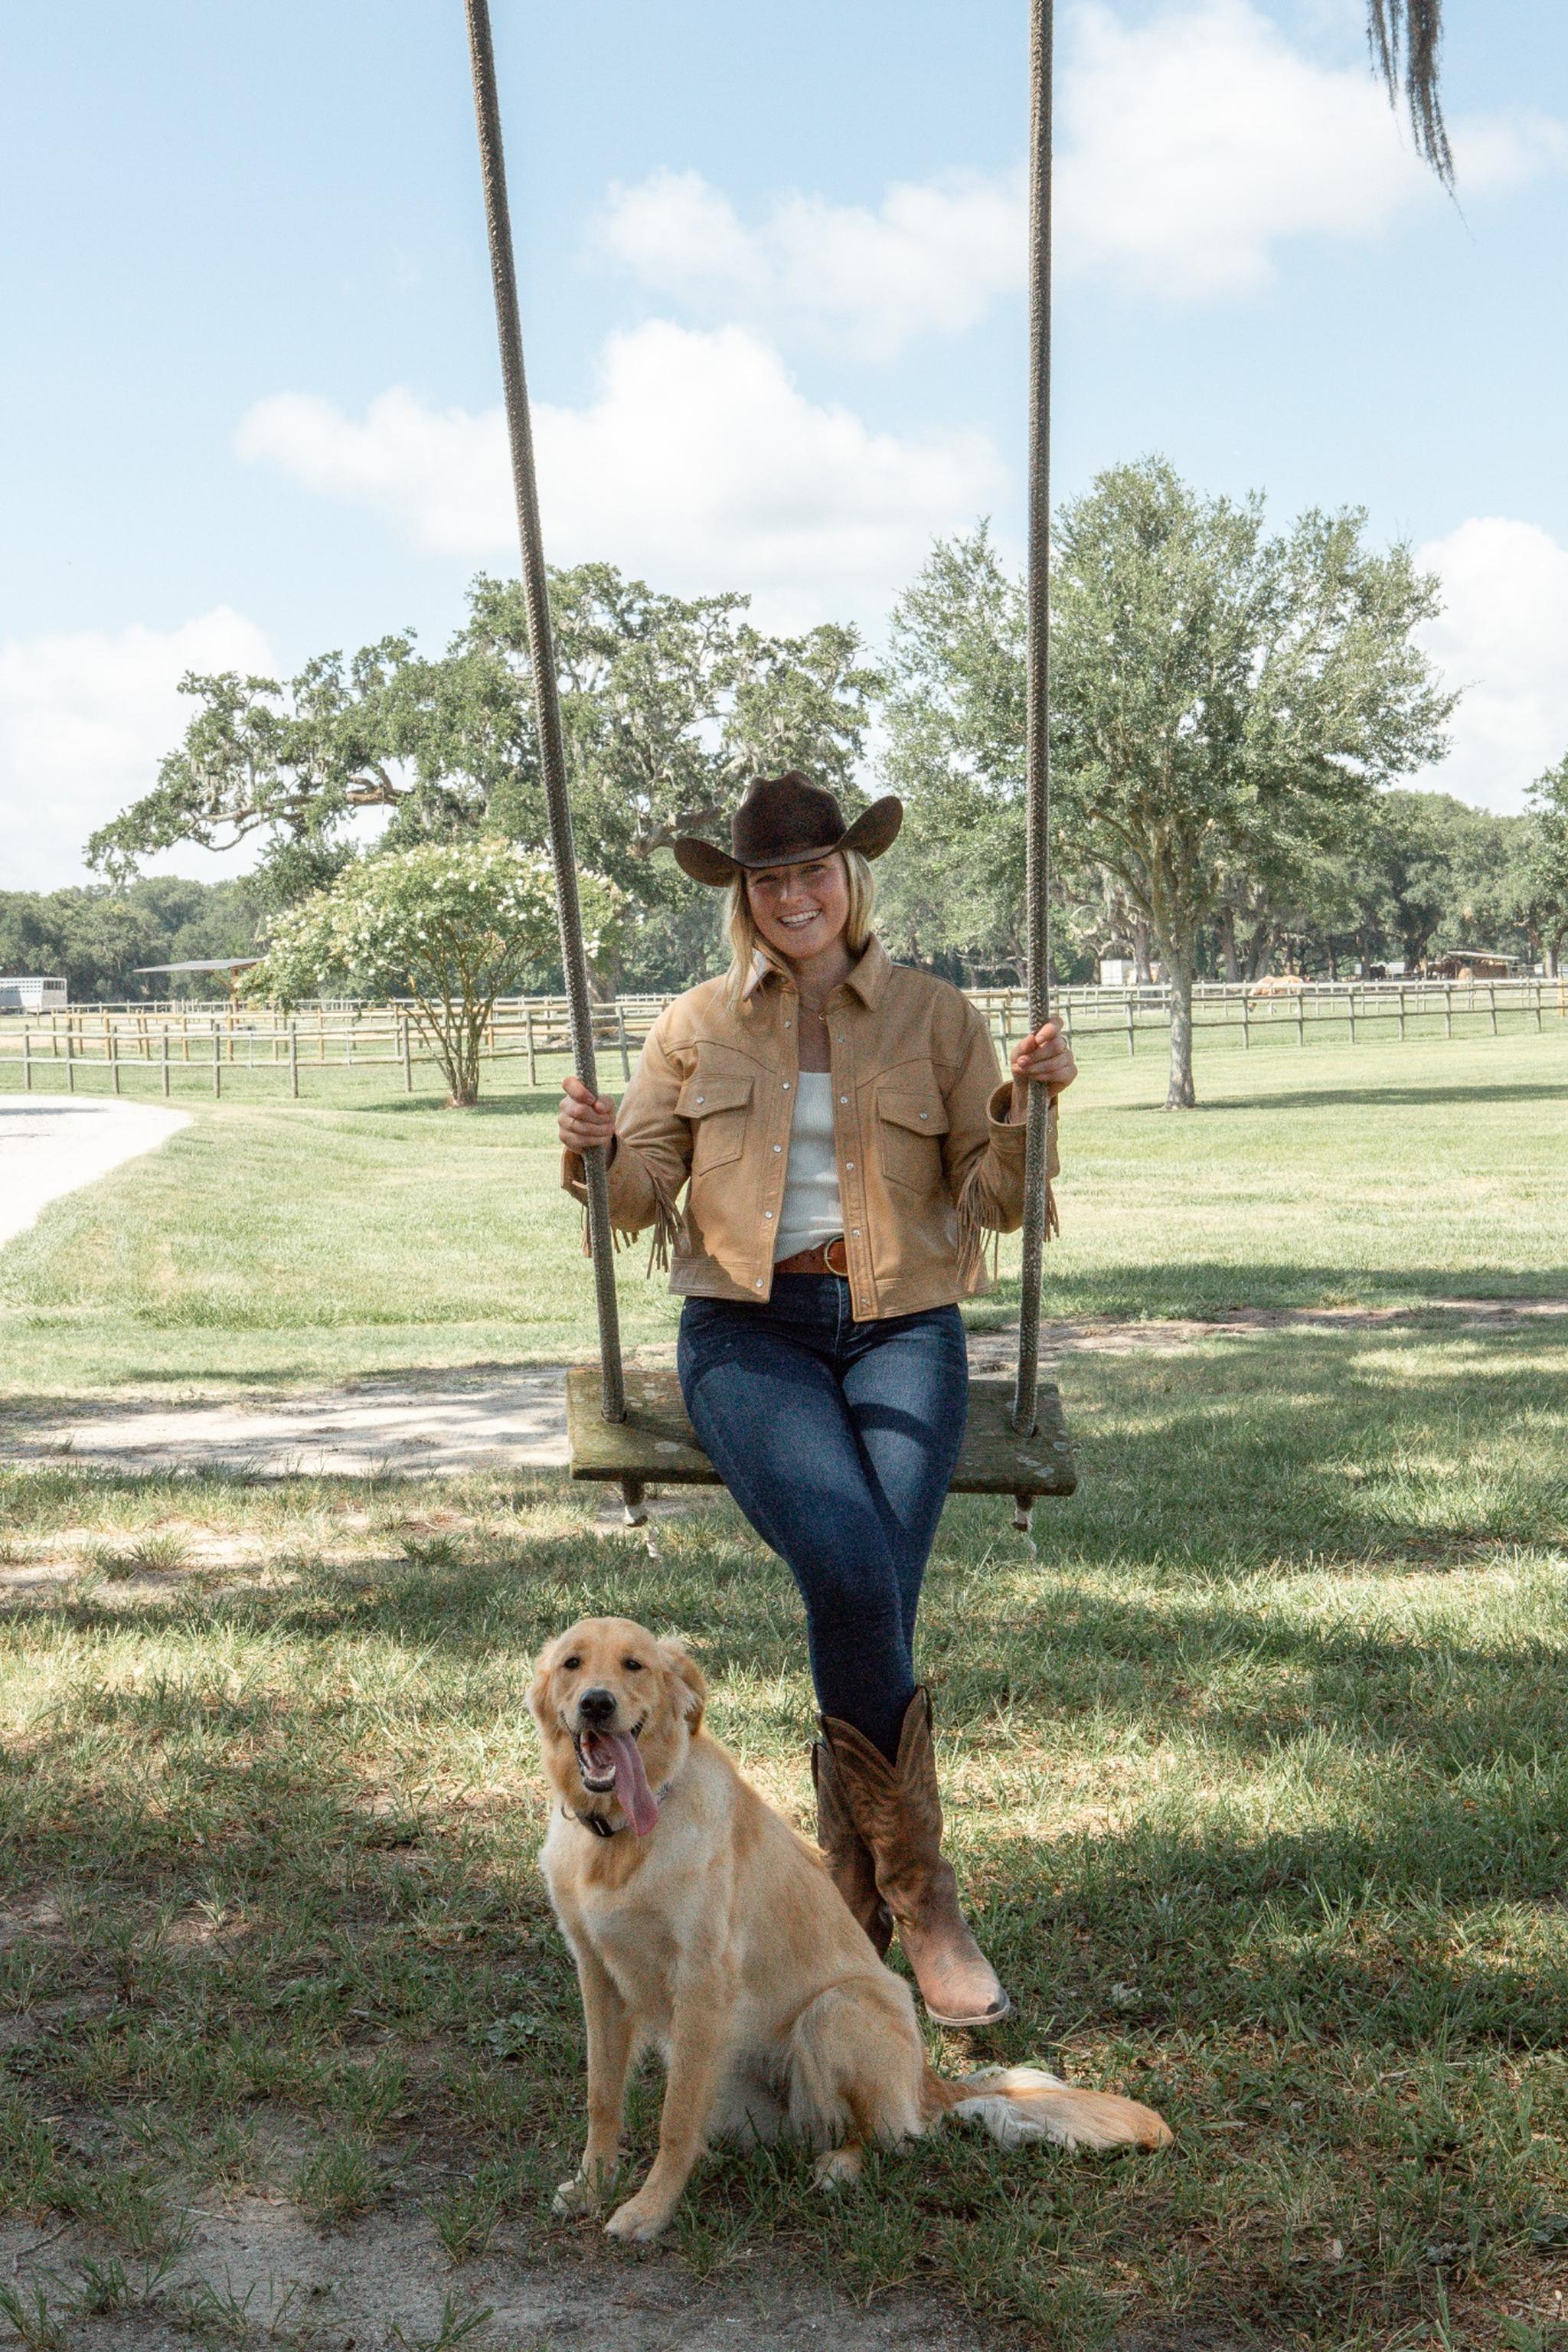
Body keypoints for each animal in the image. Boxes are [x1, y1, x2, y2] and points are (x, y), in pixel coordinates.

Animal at [533, 1618, 1171, 2239]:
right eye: (572, 1664)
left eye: (633, 1665)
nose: (596, 1704)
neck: (620, 1841)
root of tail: (929, 2083)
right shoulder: (598, 1976)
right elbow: (602, 2098)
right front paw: (594, 2186)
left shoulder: (702, 1980)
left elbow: (674, 2118)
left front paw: (649, 2210)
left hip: (835, 2010)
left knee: (896, 2138)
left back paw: (842, 2165)